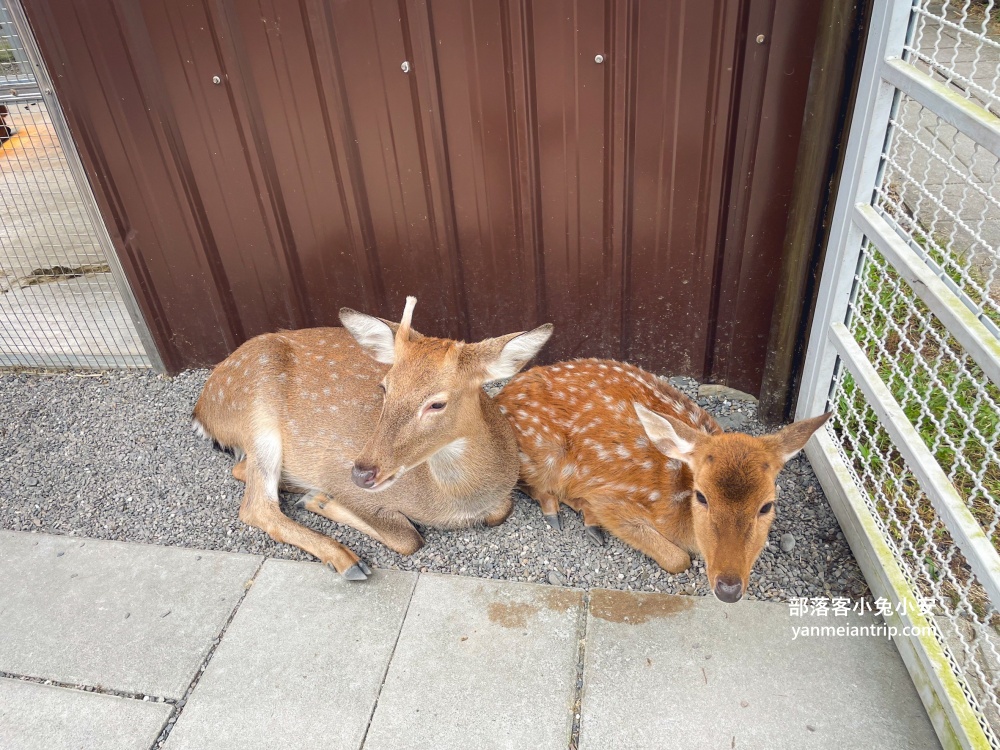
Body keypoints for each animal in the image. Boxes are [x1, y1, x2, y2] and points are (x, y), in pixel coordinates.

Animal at [193, 298, 556, 580]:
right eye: (385, 387)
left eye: (437, 403)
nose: (362, 472)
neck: (458, 502)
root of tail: (202, 407)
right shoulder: (337, 469)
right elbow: (409, 538)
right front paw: (323, 501)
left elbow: (501, 511)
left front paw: (317, 498)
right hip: (256, 412)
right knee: (255, 505)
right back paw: (347, 559)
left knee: (242, 473)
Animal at [496, 362, 832, 604]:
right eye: (701, 496)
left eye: (767, 506)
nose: (729, 589)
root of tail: (498, 397)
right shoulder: (611, 499)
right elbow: (678, 559)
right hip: (541, 455)